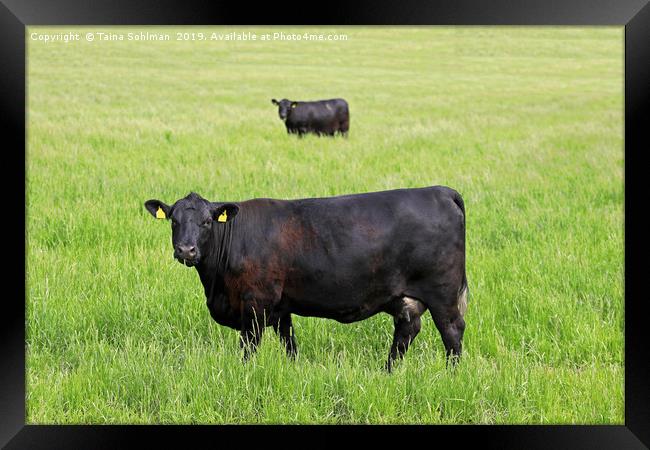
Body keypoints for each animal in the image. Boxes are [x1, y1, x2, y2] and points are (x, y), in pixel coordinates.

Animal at [144, 185, 466, 370]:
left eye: (207, 222)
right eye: (173, 221)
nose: (186, 250)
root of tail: (440, 190)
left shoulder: (255, 303)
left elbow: (249, 346)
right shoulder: (280, 307)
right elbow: (289, 342)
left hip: (443, 293)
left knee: (452, 332)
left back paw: (451, 375)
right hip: (406, 299)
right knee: (406, 331)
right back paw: (387, 371)